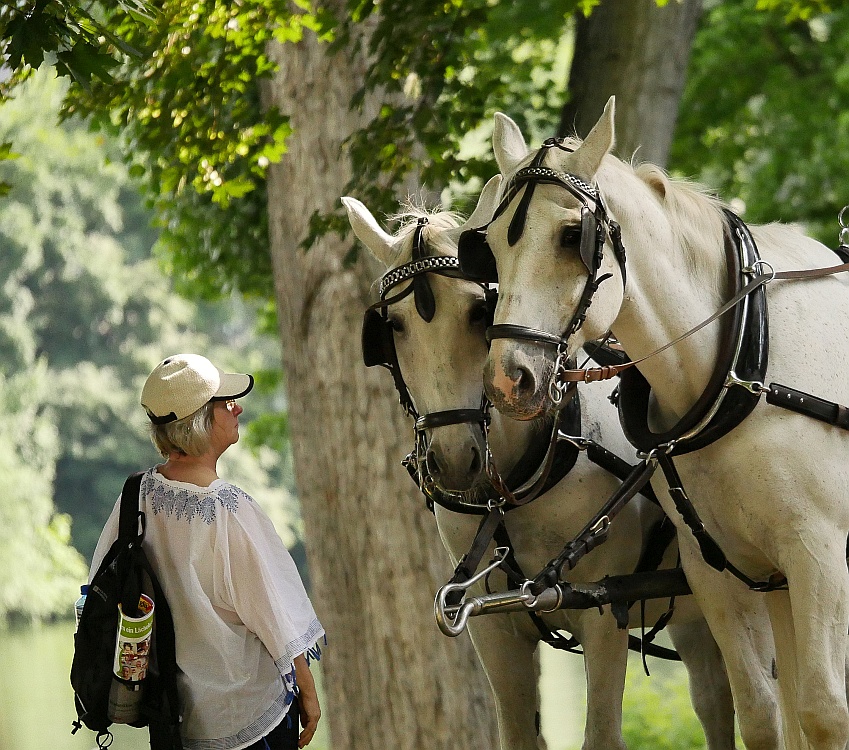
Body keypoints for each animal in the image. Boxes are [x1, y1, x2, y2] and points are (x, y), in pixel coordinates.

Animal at [342, 182, 780, 750]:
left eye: (479, 311)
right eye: (392, 326)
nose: (455, 458)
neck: (510, 494)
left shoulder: (605, 610)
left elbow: (602, 733)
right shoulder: (490, 625)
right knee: (712, 699)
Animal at [474, 100, 848, 750]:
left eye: (572, 236)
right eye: (493, 244)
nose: (507, 379)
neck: (737, 369)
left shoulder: (820, 553)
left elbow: (825, 713)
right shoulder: (723, 570)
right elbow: (763, 714)